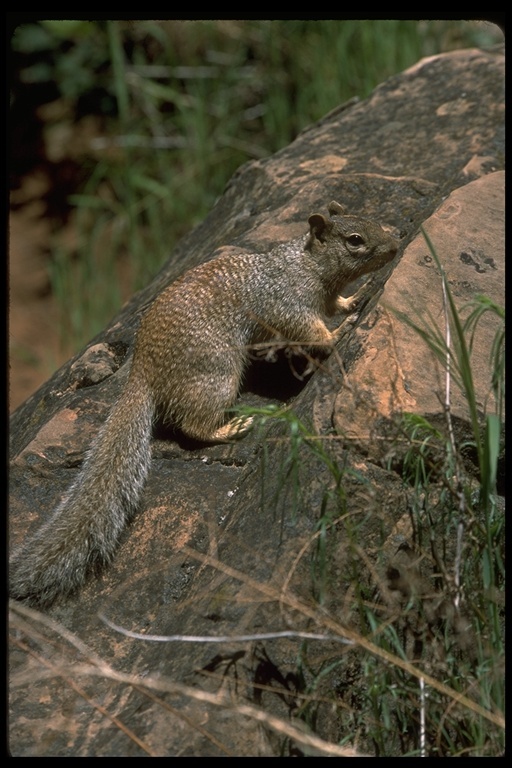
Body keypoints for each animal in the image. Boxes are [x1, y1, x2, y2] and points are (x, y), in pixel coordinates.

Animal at [9, 202, 400, 608]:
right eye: (355, 240)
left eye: (371, 221)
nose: (396, 245)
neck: (307, 264)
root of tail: (142, 377)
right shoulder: (288, 305)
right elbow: (312, 332)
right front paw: (340, 332)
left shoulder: (323, 296)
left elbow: (336, 304)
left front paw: (356, 298)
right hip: (217, 377)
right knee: (192, 427)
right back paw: (232, 427)